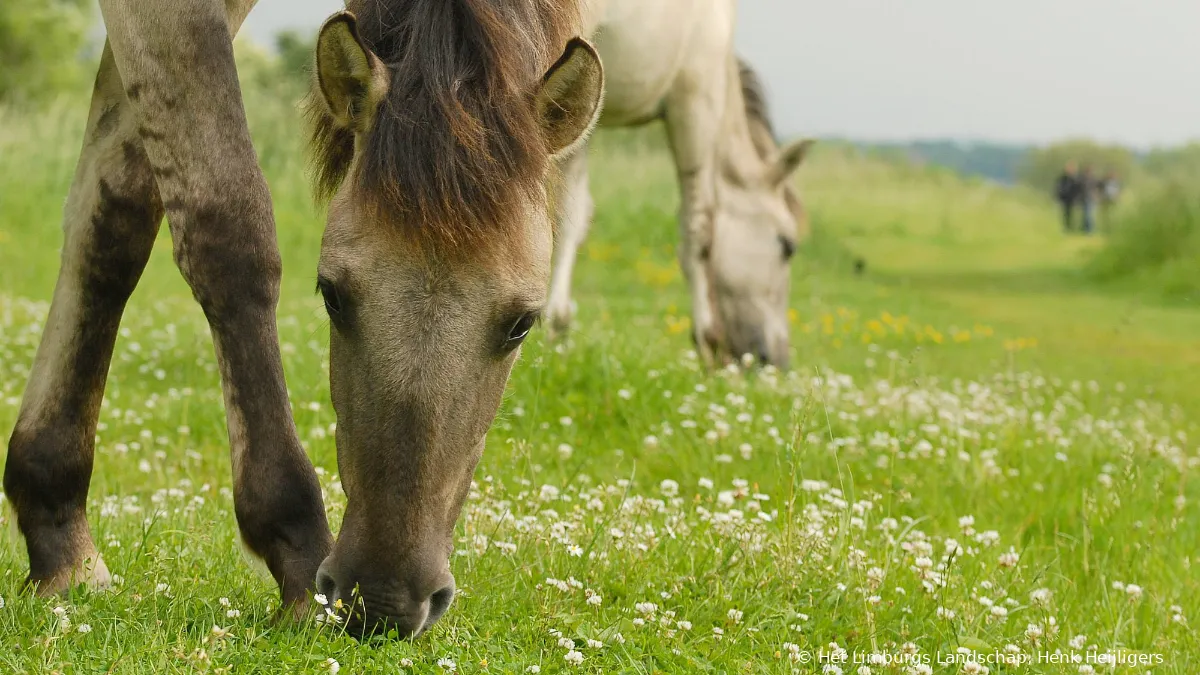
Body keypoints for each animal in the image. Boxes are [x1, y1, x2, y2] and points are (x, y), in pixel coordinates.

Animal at [0, 0, 600, 634]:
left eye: (522, 323)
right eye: (331, 294)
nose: (384, 598)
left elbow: (113, 217)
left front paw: (57, 533)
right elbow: (228, 229)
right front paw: (293, 551)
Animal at [547, 0, 816, 367]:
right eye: (787, 245)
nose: (778, 360)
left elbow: (572, 216)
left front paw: (556, 331)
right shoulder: (696, 100)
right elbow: (699, 228)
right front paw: (707, 338)